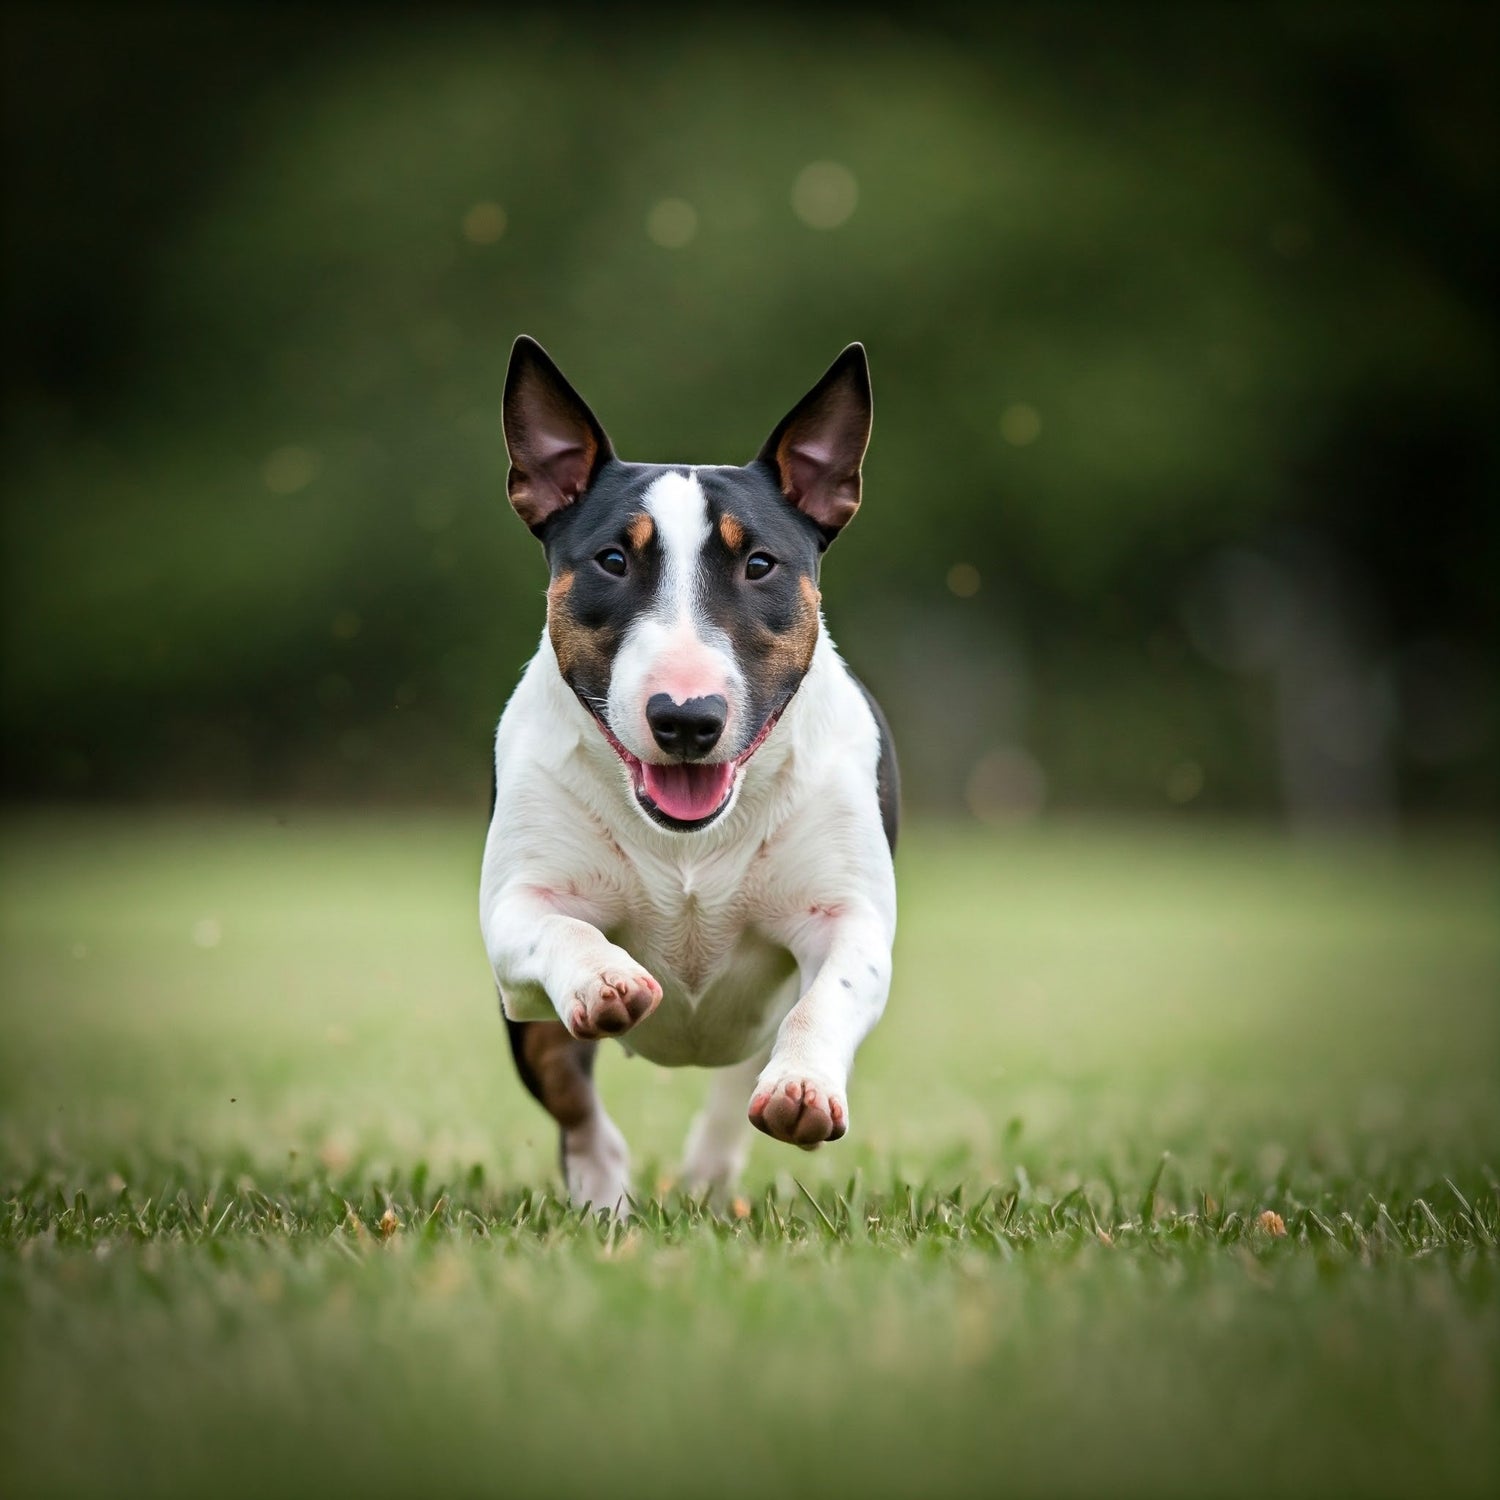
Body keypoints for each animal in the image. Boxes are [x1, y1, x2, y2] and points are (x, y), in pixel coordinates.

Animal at [480, 337, 894, 1206]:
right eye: (612, 559)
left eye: (761, 563)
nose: (686, 719)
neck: (689, 841)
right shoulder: (513, 909)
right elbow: (556, 927)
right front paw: (603, 979)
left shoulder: (851, 917)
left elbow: (831, 993)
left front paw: (805, 1087)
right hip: (525, 1026)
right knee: (572, 1097)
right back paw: (605, 1197)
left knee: (736, 1082)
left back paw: (710, 1174)